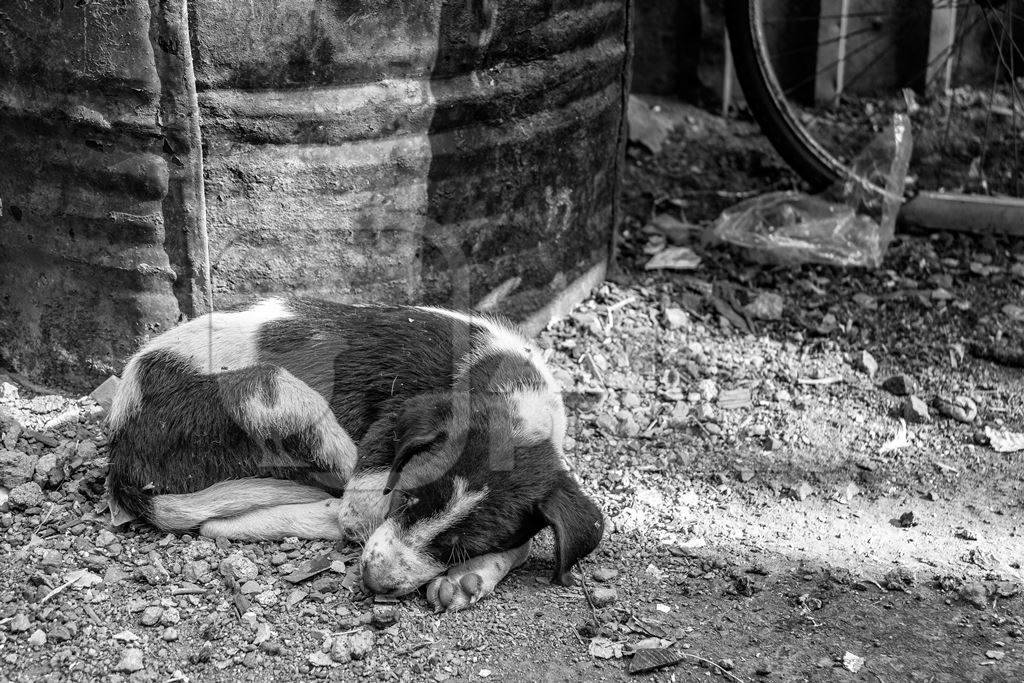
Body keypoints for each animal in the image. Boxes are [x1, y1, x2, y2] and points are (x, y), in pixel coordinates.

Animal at [105, 299, 598, 614]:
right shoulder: (381, 454)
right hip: (272, 390)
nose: (374, 583)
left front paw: (468, 577)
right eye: (405, 498)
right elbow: (358, 515)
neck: (509, 390)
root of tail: (122, 453)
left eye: (464, 547)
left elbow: (524, 540)